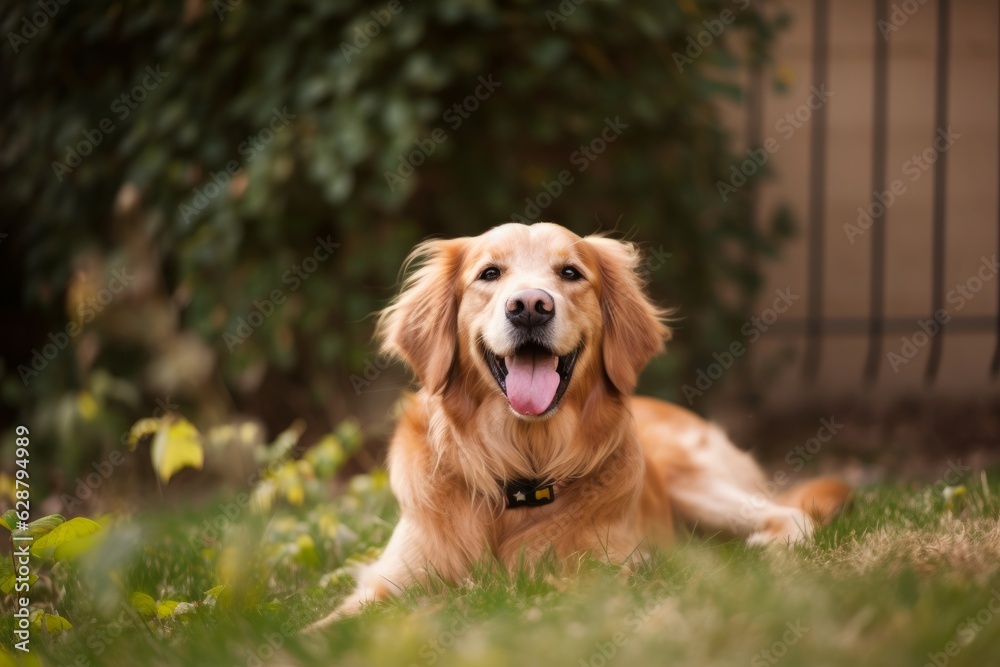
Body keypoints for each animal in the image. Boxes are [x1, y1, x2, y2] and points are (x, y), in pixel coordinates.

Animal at [308, 222, 848, 628]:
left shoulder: (605, 576)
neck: (518, 473)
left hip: (696, 482)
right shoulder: (395, 580)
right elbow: (336, 622)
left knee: (790, 515)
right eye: (489, 273)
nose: (530, 305)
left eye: (570, 272)